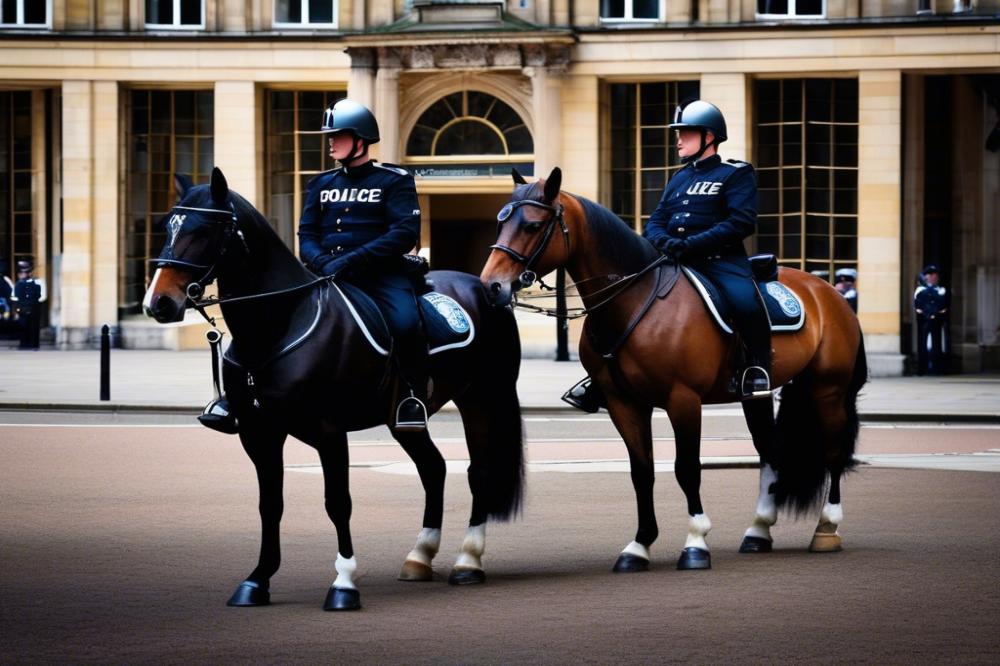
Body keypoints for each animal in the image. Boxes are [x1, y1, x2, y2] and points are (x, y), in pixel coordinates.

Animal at [143, 167, 524, 611]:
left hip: (483, 397)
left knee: (479, 471)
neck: (278, 325)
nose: (158, 302)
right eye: (168, 226)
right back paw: (419, 556)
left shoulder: (328, 432)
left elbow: (337, 502)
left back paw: (468, 561)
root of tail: (483, 286)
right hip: (404, 419)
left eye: (205, 228)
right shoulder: (259, 433)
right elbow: (270, 504)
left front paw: (343, 583)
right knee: (433, 469)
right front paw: (257, 580)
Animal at [481, 167, 866, 573]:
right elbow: (642, 471)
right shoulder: (623, 404)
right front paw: (639, 546)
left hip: (828, 389)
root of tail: (827, 290)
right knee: (769, 451)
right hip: (757, 394)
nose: (491, 286)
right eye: (500, 223)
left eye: (533, 225)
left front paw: (695, 542)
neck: (633, 300)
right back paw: (758, 532)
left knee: (833, 452)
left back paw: (826, 529)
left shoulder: (683, 400)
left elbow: (687, 468)